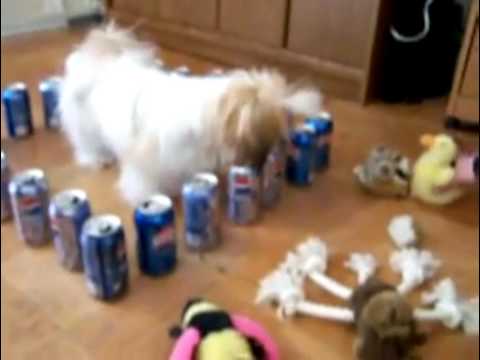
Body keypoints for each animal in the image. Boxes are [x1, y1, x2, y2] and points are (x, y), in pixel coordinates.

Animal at [59, 25, 322, 205]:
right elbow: (143, 183)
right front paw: (150, 198)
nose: (261, 162)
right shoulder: (146, 161)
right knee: (85, 144)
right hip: (84, 127)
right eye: (262, 138)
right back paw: (96, 158)